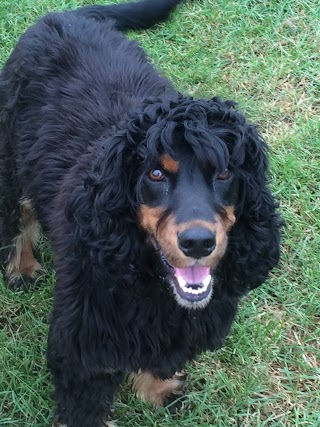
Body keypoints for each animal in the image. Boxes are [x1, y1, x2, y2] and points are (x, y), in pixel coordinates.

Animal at [0, 0, 282, 427]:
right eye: (155, 173)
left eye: (224, 173)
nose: (198, 243)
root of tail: (62, 16)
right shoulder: (84, 345)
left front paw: (157, 389)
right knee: (18, 210)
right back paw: (22, 265)